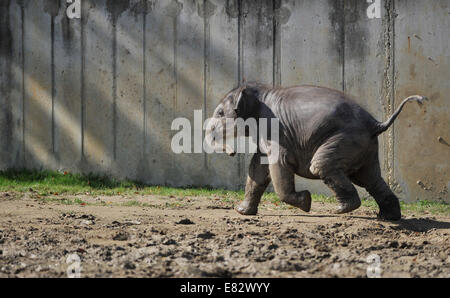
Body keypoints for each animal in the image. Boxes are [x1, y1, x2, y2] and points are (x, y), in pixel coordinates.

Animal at [204, 82, 426, 220]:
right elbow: (258, 168)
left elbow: (278, 164)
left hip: (345, 139)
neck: (259, 92)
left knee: (322, 166)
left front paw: (306, 202)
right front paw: (241, 212)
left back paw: (342, 209)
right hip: (366, 147)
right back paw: (388, 217)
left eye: (220, 113)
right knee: (369, 178)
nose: (232, 153)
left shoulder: (275, 131)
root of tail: (376, 123)